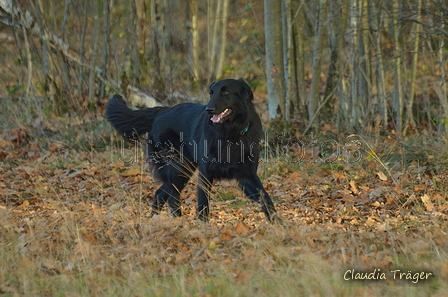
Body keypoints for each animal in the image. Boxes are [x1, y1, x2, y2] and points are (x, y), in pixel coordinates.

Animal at [105, 78, 280, 222]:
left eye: (225, 92)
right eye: (211, 93)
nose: (208, 109)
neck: (230, 134)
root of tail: (162, 110)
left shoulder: (247, 175)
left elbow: (265, 198)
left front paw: (278, 225)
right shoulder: (205, 173)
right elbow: (203, 204)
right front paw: (203, 228)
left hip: (183, 169)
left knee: (161, 192)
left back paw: (156, 220)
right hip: (179, 166)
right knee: (171, 194)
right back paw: (178, 222)